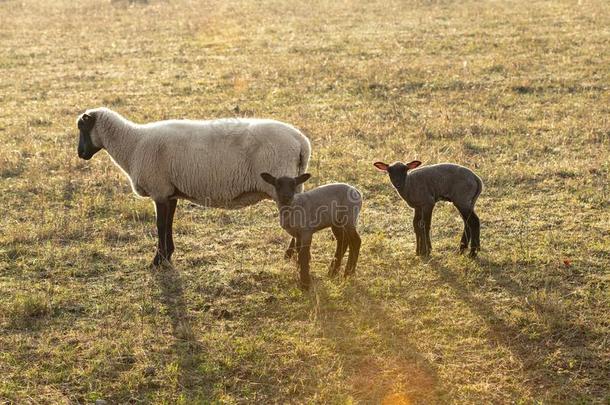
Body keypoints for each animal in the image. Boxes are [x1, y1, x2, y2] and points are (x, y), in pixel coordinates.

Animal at [77, 107, 308, 266]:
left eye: (82, 127)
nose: (81, 154)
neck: (132, 144)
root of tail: (301, 142)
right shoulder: (170, 192)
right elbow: (169, 223)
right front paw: (167, 255)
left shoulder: (159, 190)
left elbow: (160, 225)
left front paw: (157, 261)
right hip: (295, 186)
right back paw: (292, 254)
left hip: (283, 185)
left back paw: (292, 255)